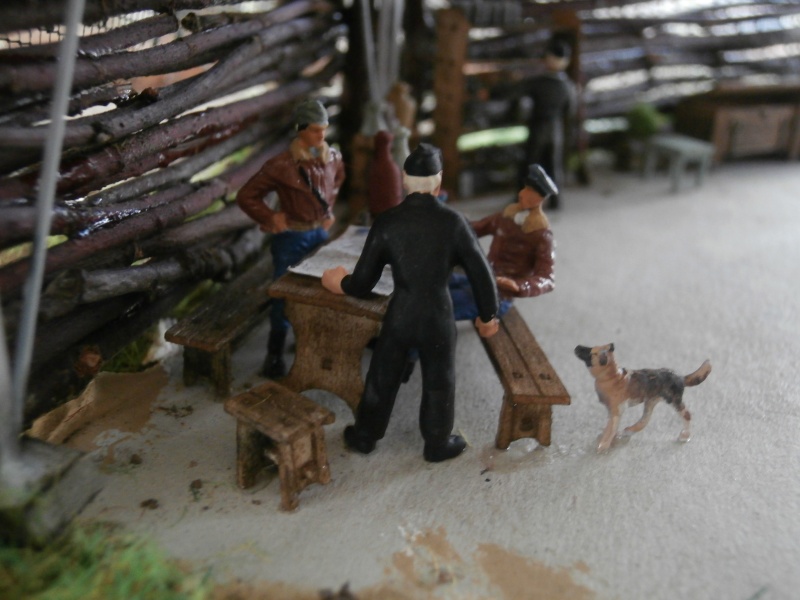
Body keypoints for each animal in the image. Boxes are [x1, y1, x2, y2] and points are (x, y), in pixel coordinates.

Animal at [576, 344, 712, 452]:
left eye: (590, 352)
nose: (577, 347)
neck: (611, 376)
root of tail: (681, 377)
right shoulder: (611, 410)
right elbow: (609, 426)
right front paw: (604, 437)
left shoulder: (617, 411)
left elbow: (611, 427)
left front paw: (604, 444)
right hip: (651, 401)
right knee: (644, 420)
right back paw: (628, 431)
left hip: (673, 401)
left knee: (686, 415)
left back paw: (685, 436)